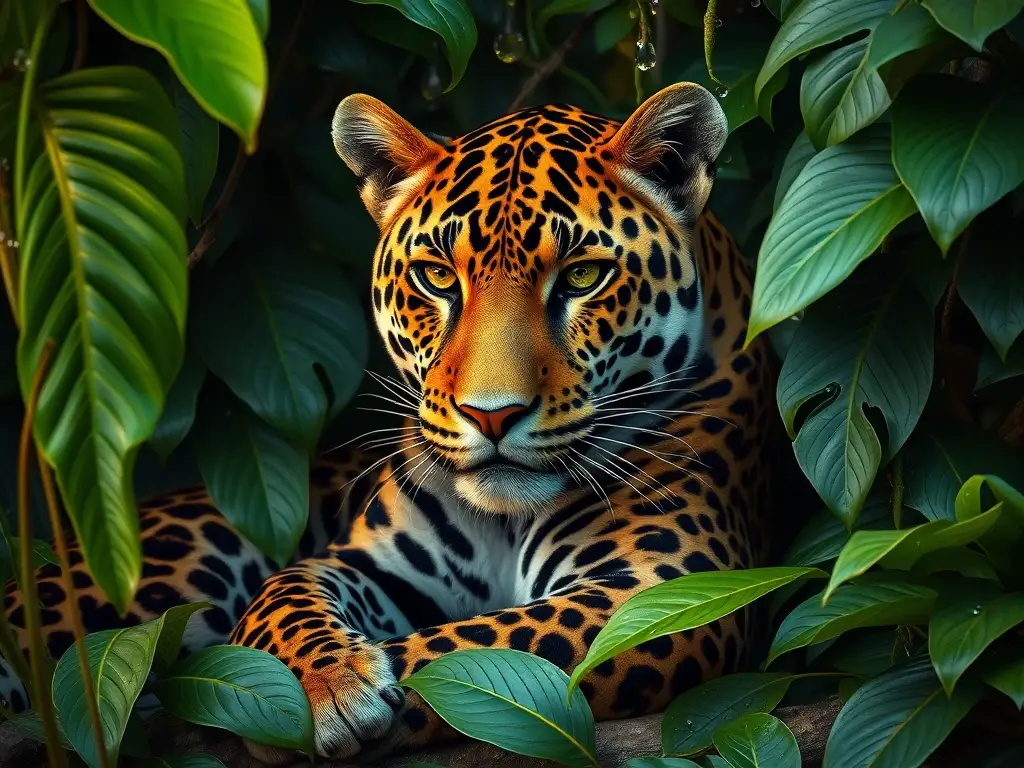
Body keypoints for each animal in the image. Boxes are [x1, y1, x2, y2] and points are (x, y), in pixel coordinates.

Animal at [1, 82, 778, 763]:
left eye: (583, 277)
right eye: (438, 278)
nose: (491, 415)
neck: (505, 522)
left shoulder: (662, 585)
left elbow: (482, 643)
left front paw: (325, 700)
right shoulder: (359, 561)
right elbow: (280, 596)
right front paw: (314, 687)